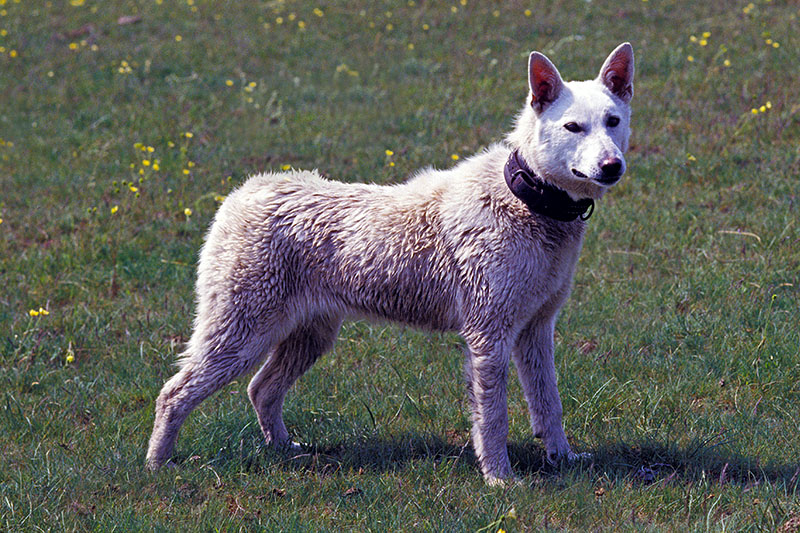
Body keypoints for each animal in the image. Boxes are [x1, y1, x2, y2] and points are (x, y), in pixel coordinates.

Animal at [147, 42, 636, 482]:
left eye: (612, 122)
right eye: (573, 127)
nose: (612, 166)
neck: (530, 200)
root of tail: (241, 194)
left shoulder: (536, 328)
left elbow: (548, 404)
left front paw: (562, 459)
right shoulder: (489, 336)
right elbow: (493, 419)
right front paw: (500, 479)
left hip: (310, 335)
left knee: (261, 390)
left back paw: (286, 450)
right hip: (240, 333)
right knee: (173, 393)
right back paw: (157, 465)